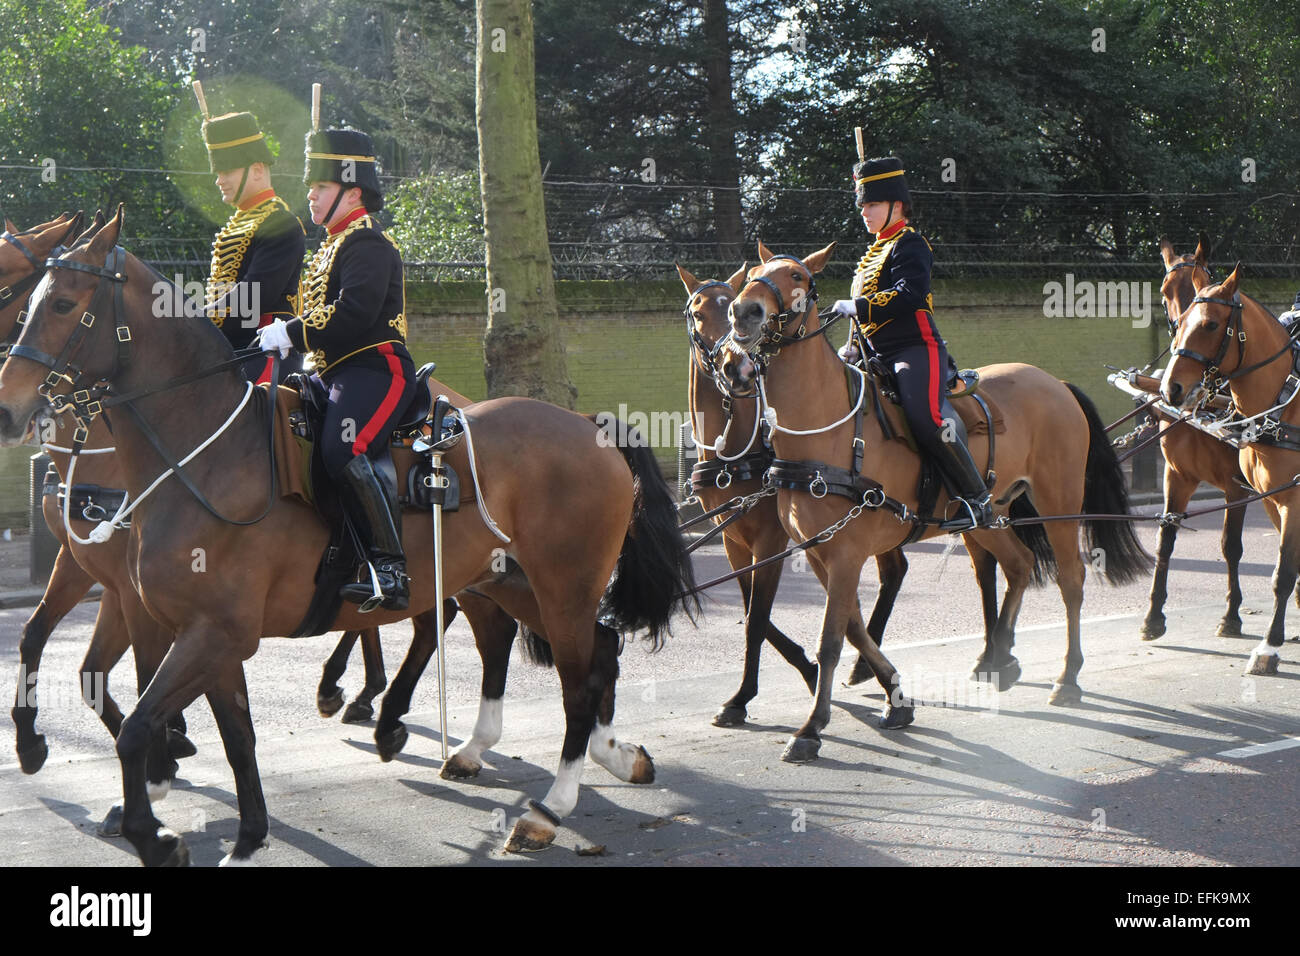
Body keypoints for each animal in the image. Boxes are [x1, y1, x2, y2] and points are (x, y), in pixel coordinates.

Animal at [0, 209, 702, 868]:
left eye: (61, 303)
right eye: (30, 300)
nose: (8, 408)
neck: (201, 454)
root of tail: (586, 424)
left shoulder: (206, 630)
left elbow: (138, 726)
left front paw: (154, 827)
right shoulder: (195, 628)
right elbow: (232, 735)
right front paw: (243, 834)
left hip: (563, 585)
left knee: (574, 678)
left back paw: (545, 808)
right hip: (511, 579)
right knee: (578, 648)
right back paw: (596, 755)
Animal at [676, 261, 909, 723]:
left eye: (729, 307)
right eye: (697, 312)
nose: (736, 369)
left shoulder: (771, 538)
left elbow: (757, 617)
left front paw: (748, 694)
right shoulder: (733, 538)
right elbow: (754, 612)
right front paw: (804, 670)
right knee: (894, 571)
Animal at [717, 244, 1154, 764]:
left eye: (798, 276)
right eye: (754, 273)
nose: (744, 312)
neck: (826, 429)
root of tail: (1054, 382)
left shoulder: (844, 555)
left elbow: (831, 640)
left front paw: (811, 727)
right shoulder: (819, 552)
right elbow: (854, 628)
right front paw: (895, 698)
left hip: (1059, 500)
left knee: (1071, 579)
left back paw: (1067, 677)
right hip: (986, 515)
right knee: (1020, 563)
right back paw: (998, 659)